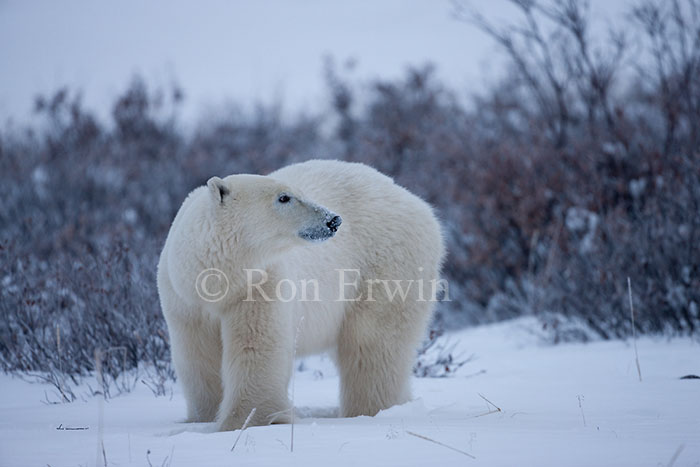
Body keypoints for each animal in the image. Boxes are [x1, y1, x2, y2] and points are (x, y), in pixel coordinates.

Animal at [157, 160, 442, 432]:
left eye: (296, 193)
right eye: (284, 197)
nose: (333, 220)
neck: (221, 279)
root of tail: (417, 203)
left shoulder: (261, 283)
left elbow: (256, 347)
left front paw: (245, 421)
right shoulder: (184, 302)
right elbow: (198, 357)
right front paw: (202, 419)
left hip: (385, 264)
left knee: (373, 343)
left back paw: (370, 410)